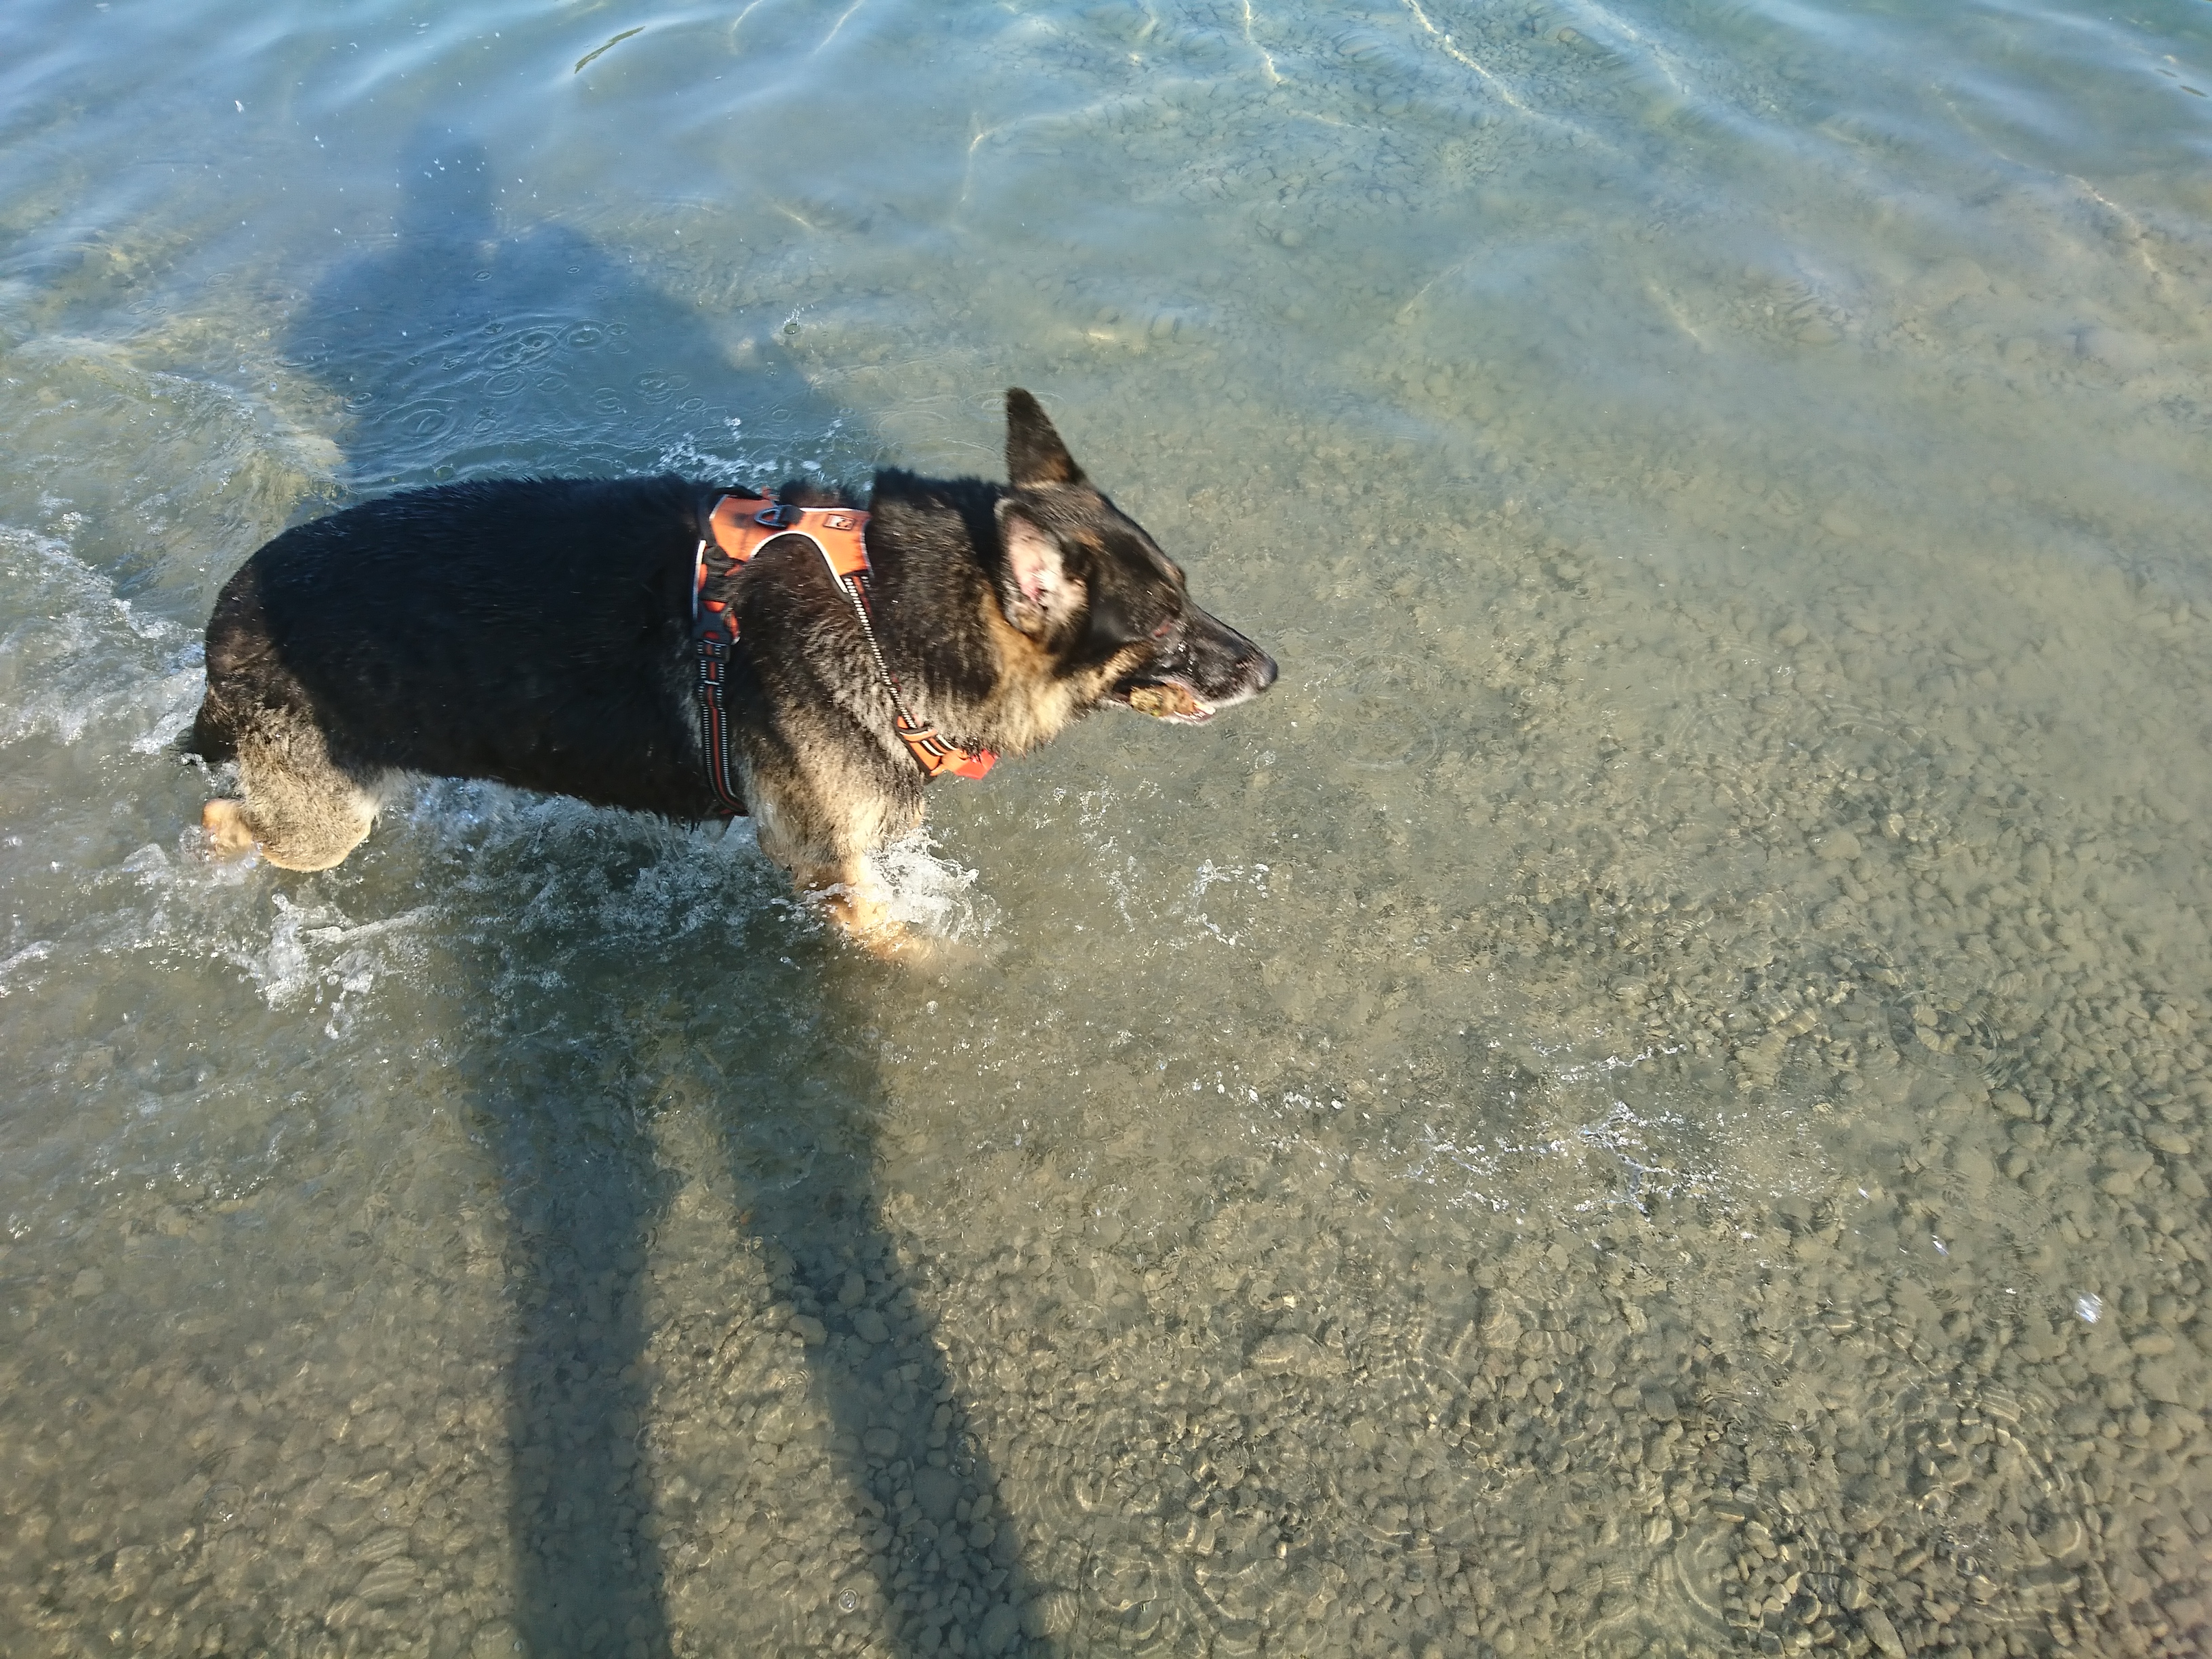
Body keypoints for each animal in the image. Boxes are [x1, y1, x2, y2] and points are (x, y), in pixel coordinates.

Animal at [189, 389, 1277, 949]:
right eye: (1165, 626)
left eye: (1189, 593)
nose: (1271, 670)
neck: (887, 619)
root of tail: (227, 606)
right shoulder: (829, 878)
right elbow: (907, 946)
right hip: (325, 823)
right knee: (221, 817)